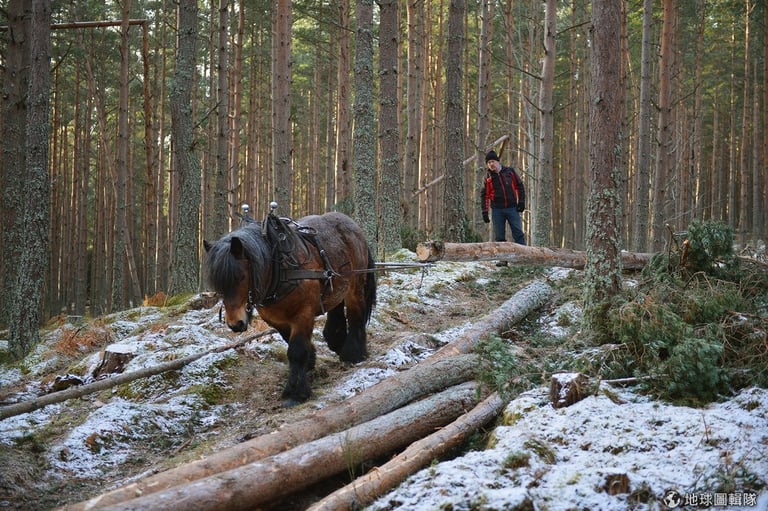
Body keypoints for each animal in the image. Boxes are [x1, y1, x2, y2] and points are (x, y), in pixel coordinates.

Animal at [201, 211, 376, 404]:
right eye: (218, 284)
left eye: (241, 277)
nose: (235, 323)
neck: (280, 271)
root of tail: (350, 222)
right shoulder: (274, 319)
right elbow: (288, 341)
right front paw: (310, 361)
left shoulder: (304, 314)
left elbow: (296, 350)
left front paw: (295, 393)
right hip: (337, 284)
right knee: (336, 308)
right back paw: (336, 340)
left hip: (356, 284)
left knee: (355, 315)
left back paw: (353, 353)